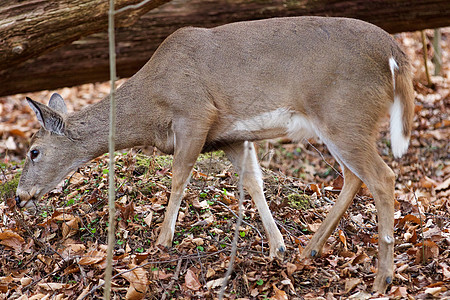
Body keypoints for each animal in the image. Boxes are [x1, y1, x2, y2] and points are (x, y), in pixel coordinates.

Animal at [15, 16, 414, 292]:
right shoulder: (230, 137)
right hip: (343, 122)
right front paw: (278, 248)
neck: (150, 106)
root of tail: (396, 55)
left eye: (34, 151)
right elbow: (253, 183)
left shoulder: (195, 114)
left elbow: (178, 177)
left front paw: (161, 242)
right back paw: (309, 251)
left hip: (344, 113)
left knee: (383, 176)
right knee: (354, 177)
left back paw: (382, 279)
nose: (18, 197)